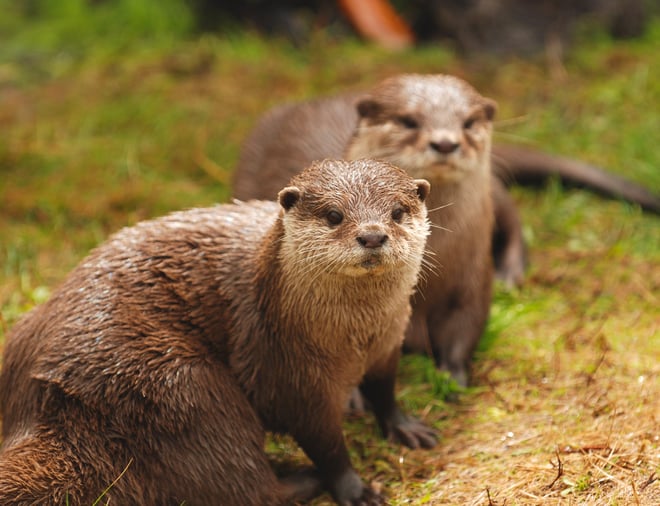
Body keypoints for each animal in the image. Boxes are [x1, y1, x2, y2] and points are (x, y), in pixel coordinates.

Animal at [0, 159, 435, 505]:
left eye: (397, 212)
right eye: (333, 215)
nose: (373, 235)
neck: (355, 341)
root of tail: (46, 401)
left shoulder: (389, 343)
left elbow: (384, 388)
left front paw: (405, 426)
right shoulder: (289, 372)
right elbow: (325, 442)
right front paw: (354, 489)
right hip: (188, 392)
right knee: (248, 484)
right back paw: (301, 477)